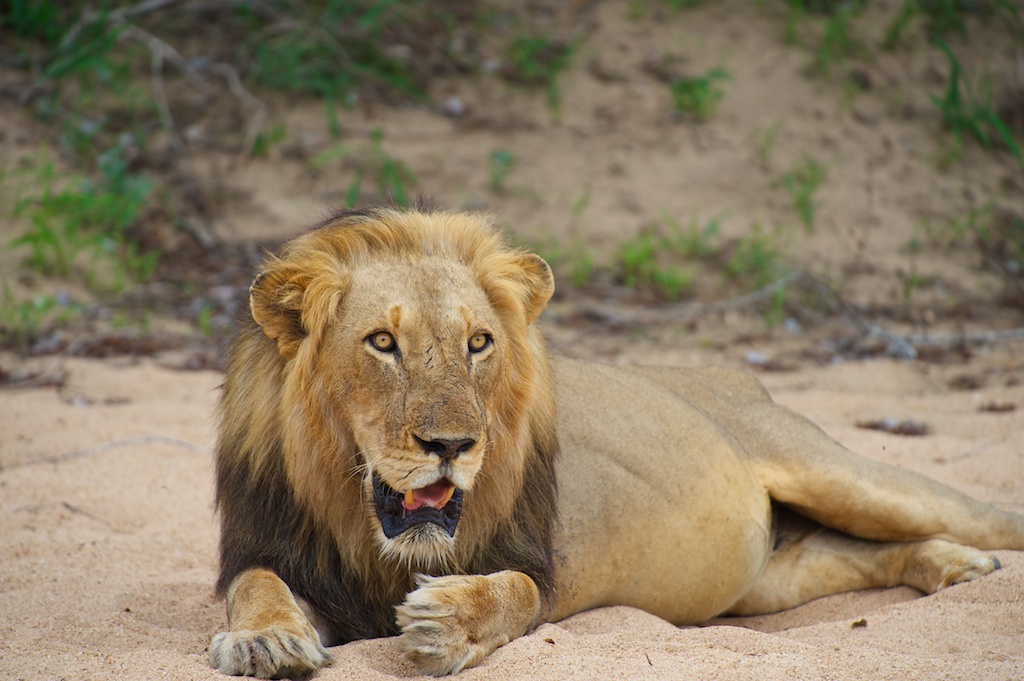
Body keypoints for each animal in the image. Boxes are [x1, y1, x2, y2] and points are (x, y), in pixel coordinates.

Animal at [208, 206, 1024, 679]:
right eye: (382, 342)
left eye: (478, 343)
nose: (453, 443)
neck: (373, 536)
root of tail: (738, 376)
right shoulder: (276, 550)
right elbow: (258, 584)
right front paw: (266, 643)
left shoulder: (536, 564)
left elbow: (512, 591)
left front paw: (443, 622)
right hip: (766, 580)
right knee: (857, 554)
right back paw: (951, 566)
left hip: (844, 476)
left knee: (975, 515)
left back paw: (972, 559)